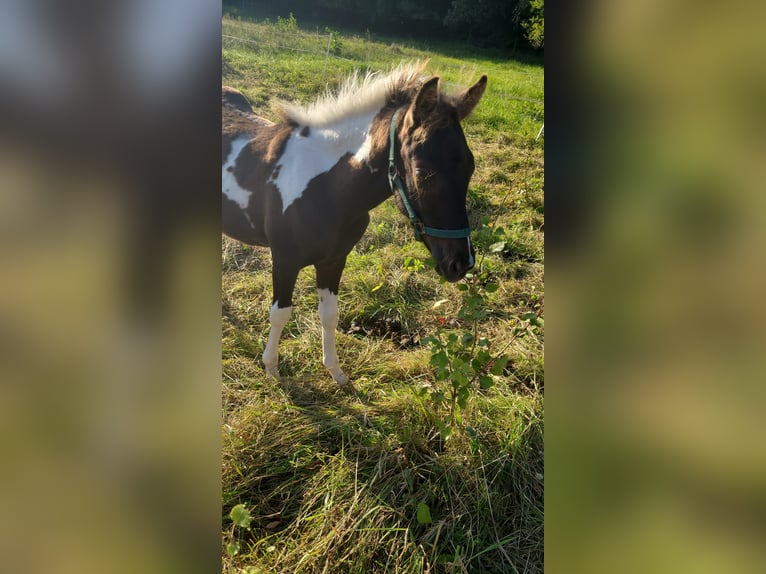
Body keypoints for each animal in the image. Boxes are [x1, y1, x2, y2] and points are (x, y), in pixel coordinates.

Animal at [224, 62, 486, 388]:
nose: (460, 263)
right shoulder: (284, 260)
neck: (328, 189)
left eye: (470, 166)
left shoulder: (334, 260)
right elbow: (280, 314)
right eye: (422, 171)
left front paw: (335, 371)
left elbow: (330, 315)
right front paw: (272, 368)